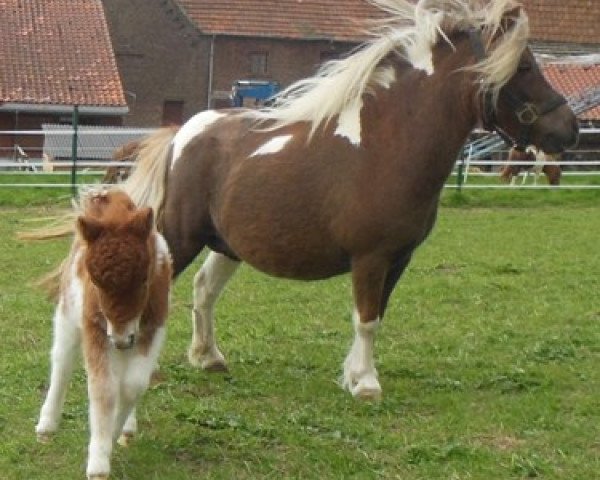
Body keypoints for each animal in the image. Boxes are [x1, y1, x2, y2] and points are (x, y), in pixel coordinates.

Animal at [35, 189, 171, 480]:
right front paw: (98, 462)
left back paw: (127, 429)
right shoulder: (94, 328)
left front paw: (113, 434)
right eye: (95, 282)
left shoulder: (154, 327)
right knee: (61, 362)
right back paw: (46, 426)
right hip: (68, 315)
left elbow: (133, 384)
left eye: (144, 278)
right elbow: (103, 389)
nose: (120, 339)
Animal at [118, 0, 576, 400]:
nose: (568, 129)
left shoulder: (398, 258)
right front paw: (367, 384)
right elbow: (366, 318)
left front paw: (356, 376)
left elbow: (375, 318)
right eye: (524, 66)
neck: (384, 147)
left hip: (227, 245)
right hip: (181, 237)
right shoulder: (370, 258)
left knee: (204, 290)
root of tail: (183, 132)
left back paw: (208, 357)